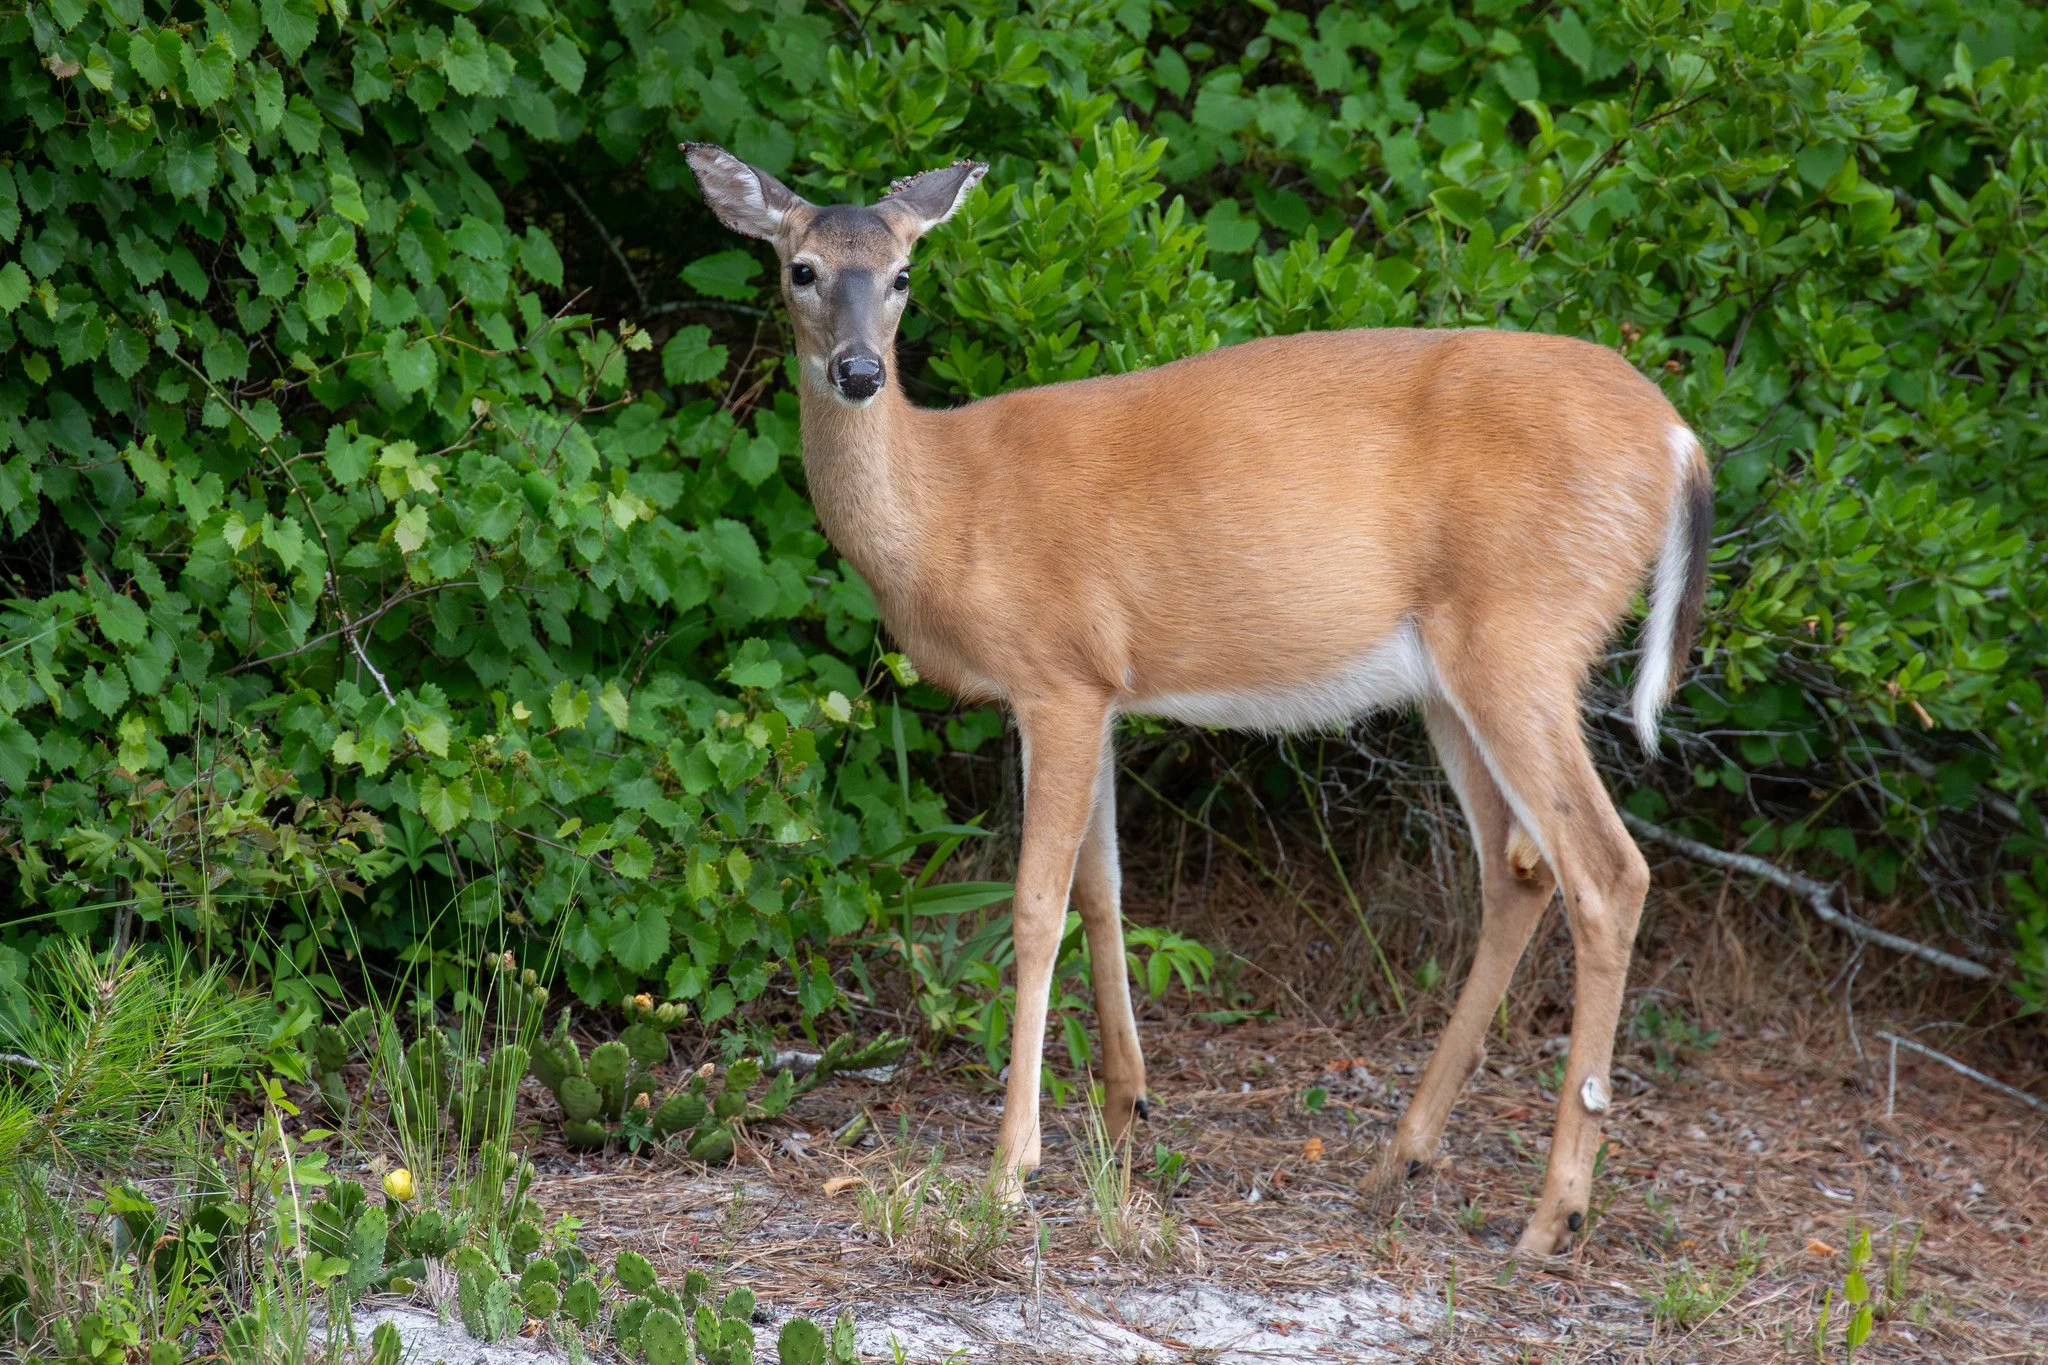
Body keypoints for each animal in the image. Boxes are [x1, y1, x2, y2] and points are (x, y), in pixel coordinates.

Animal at [682, 143, 1713, 1256]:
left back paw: (1551, 1211)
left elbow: (1033, 905)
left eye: (905, 274)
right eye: (801, 270)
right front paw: (1126, 1108)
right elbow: (1102, 890)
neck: (951, 507)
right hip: (1455, 673)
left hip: (1523, 633)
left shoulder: (1054, 675)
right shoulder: (1097, 687)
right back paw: (1397, 1161)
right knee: (1516, 871)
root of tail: (1679, 440)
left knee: (1605, 870)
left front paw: (1011, 1168)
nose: (860, 372)